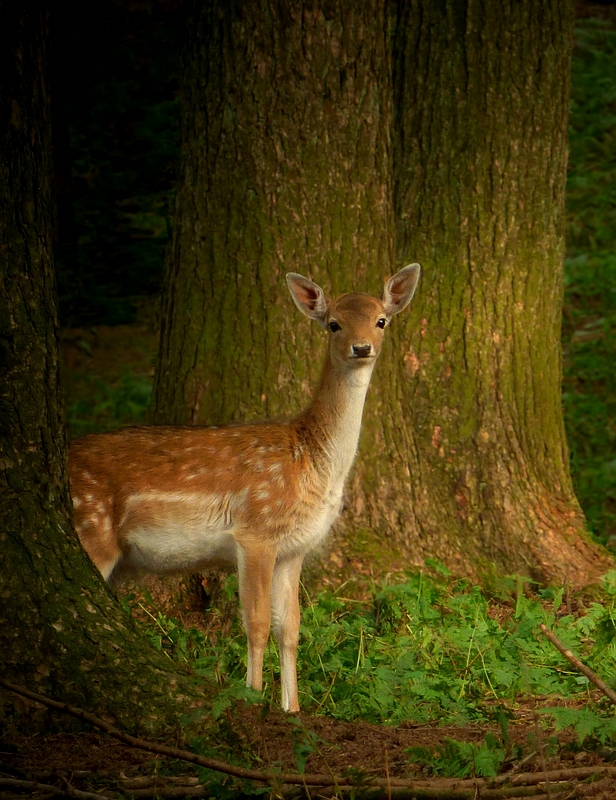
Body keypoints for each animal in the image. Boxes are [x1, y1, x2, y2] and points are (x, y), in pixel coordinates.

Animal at [70, 266, 422, 708]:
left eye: (381, 320)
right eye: (333, 324)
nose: (361, 348)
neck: (314, 463)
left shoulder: (294, 548)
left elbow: (290, 628)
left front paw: (293, 710)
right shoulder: (255, 531)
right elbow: (256, 623)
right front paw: (254, 698)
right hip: (90, 530)